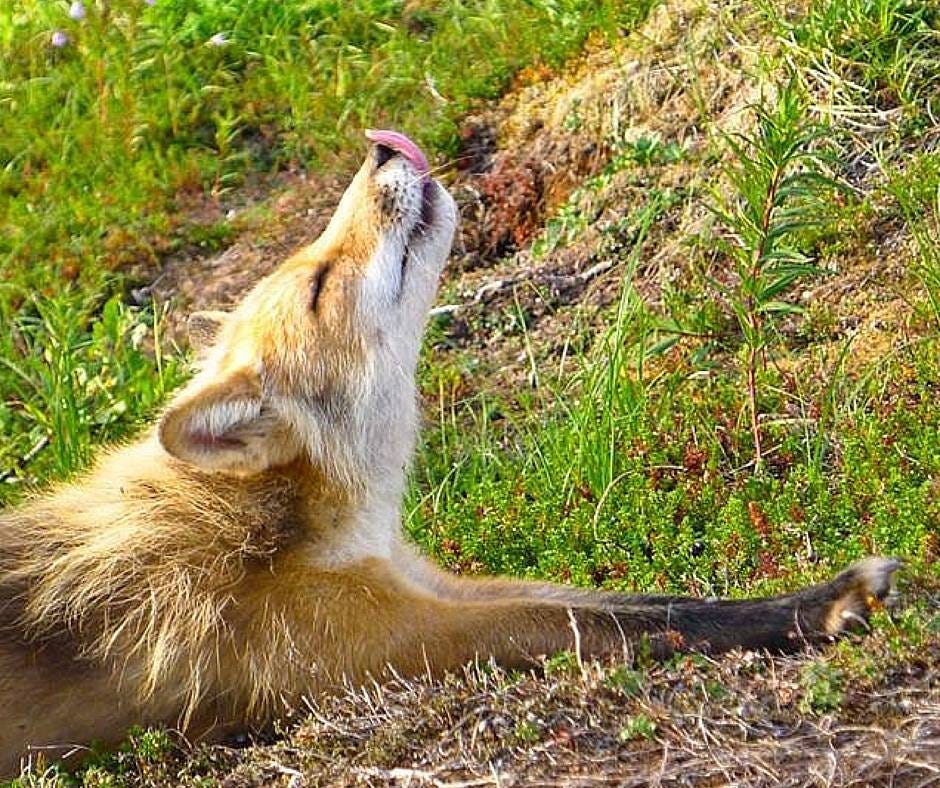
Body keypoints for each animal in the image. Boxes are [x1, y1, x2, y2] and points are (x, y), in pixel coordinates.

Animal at [0, 129, 896, 776]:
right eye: (319, 286)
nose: (381, 148)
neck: (280, 532)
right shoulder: (391, 644)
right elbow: (611, 623)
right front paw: (823, 605)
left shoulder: (424, 582)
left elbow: (646, 600)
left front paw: (808, 597)